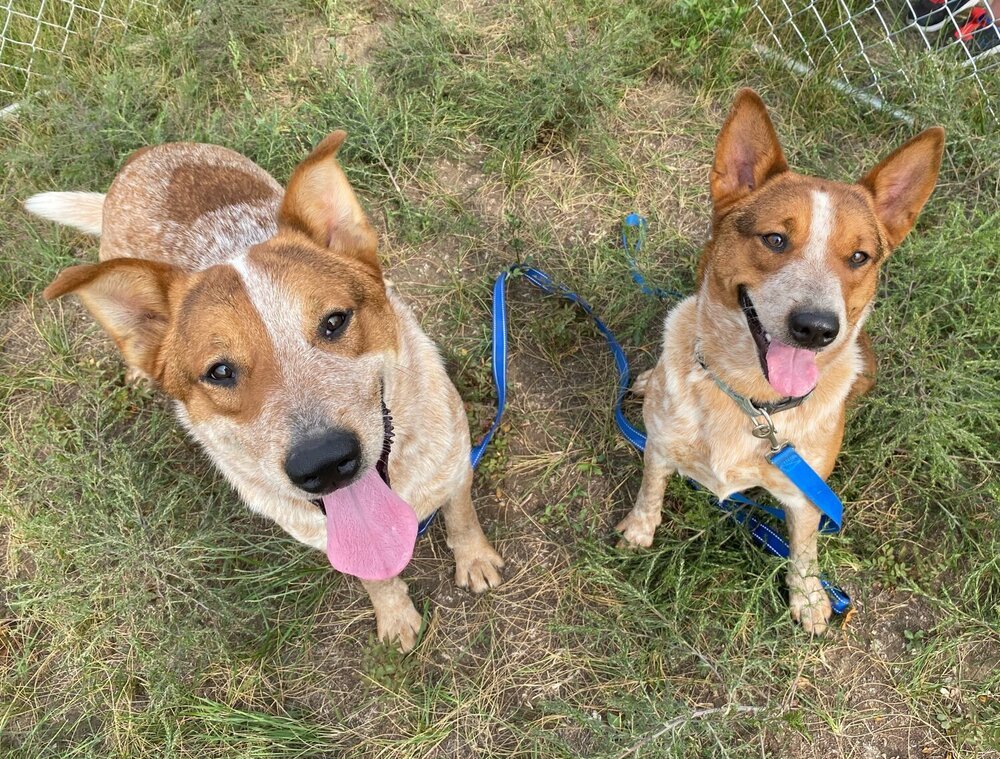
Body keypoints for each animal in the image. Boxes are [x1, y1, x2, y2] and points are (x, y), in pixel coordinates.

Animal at [26, 132, 504, 652]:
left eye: (334, 321)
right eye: (219, 371)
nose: (324, 463)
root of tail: (143, 157)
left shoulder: (455, 465)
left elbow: (462, 518)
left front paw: (475, 560)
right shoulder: (327, 537)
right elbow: (376, 578)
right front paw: (395, 616)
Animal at [616, 90, 944, 636]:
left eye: (859, 257)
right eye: (774, 239)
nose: (816, 327)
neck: (752, 402)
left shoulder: (804, 496)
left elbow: (804, 550)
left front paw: (808, 596)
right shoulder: (659, 445)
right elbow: (650, 491)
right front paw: (639, 531)